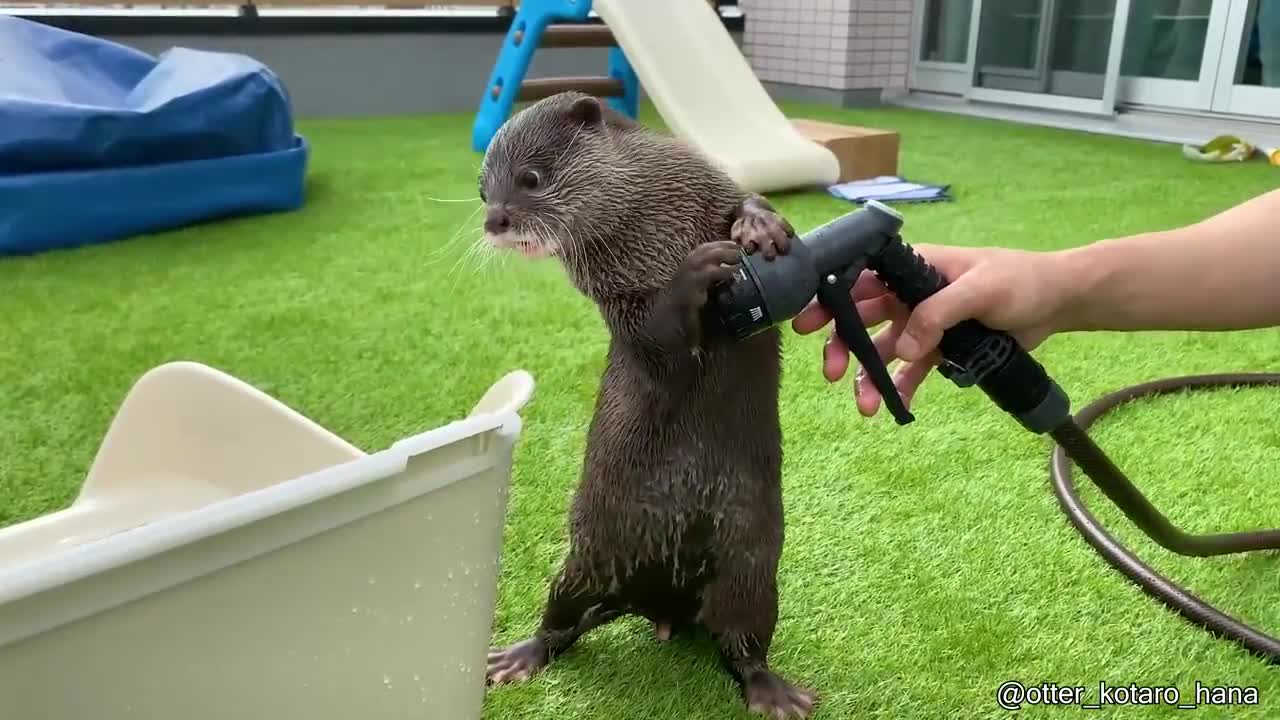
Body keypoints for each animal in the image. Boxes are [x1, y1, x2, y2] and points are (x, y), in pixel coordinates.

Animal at [476, 92, 814, 712]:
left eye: (530, 178)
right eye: (484, 191)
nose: (495, 221)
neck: (653, 227)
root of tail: (659, 601)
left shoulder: (709, 183)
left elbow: (746, 198)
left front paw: (758, 223)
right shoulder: (621, 303)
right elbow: (659, 338)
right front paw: (694, 274)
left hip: (752, 570)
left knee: (743, 644)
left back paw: (772, 691)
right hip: (586, 560)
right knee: (560, 619)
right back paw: (517, 658)